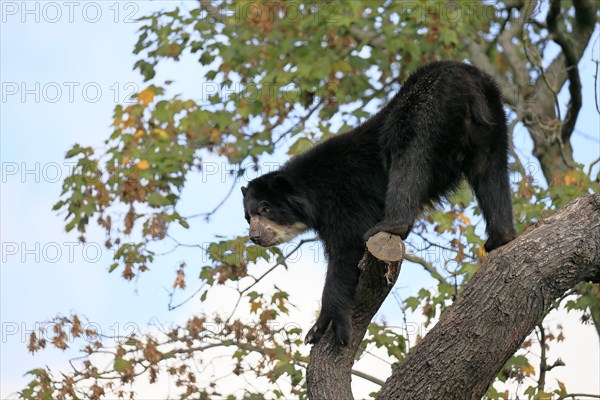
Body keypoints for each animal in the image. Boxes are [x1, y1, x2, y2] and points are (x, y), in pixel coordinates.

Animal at [241, 61, 516, 346]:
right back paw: (501, 237)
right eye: (248, 217)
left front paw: (324, 327)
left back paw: (392, 225)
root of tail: (466, 75)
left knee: (409, 154)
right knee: (490, 170)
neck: (313, 196)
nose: (254, 236)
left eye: (265, 208)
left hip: (425, 107)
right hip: (492, 120)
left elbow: (346, 249)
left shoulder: (344, 201)